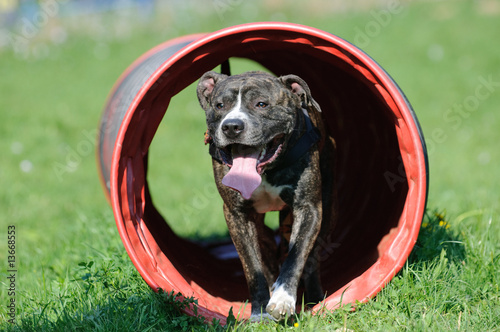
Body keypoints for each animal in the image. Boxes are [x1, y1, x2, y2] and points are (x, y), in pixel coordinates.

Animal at [196, 70, 336, 322]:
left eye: (261, 104)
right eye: (220, 105)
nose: (231, 126)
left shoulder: (308, 208)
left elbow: (296, 256)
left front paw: (283, 300)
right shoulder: (238, 216)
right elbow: (253, 267)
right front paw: (259, 312)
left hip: (325, 208)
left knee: (311, 257)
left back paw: (314, 298)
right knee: (269, 247)